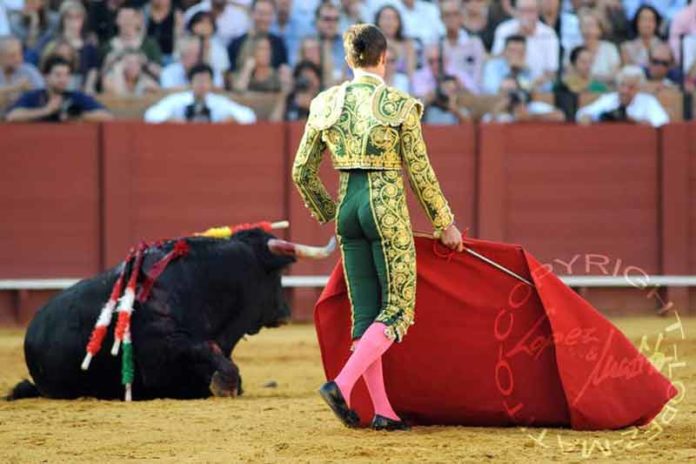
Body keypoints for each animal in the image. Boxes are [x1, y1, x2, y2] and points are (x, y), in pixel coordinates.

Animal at [7, 227, 334, 400]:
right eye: (278, 275)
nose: (285, 311)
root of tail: (31, 331)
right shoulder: (163, 351)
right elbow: (207, 351)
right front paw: (223, 384)